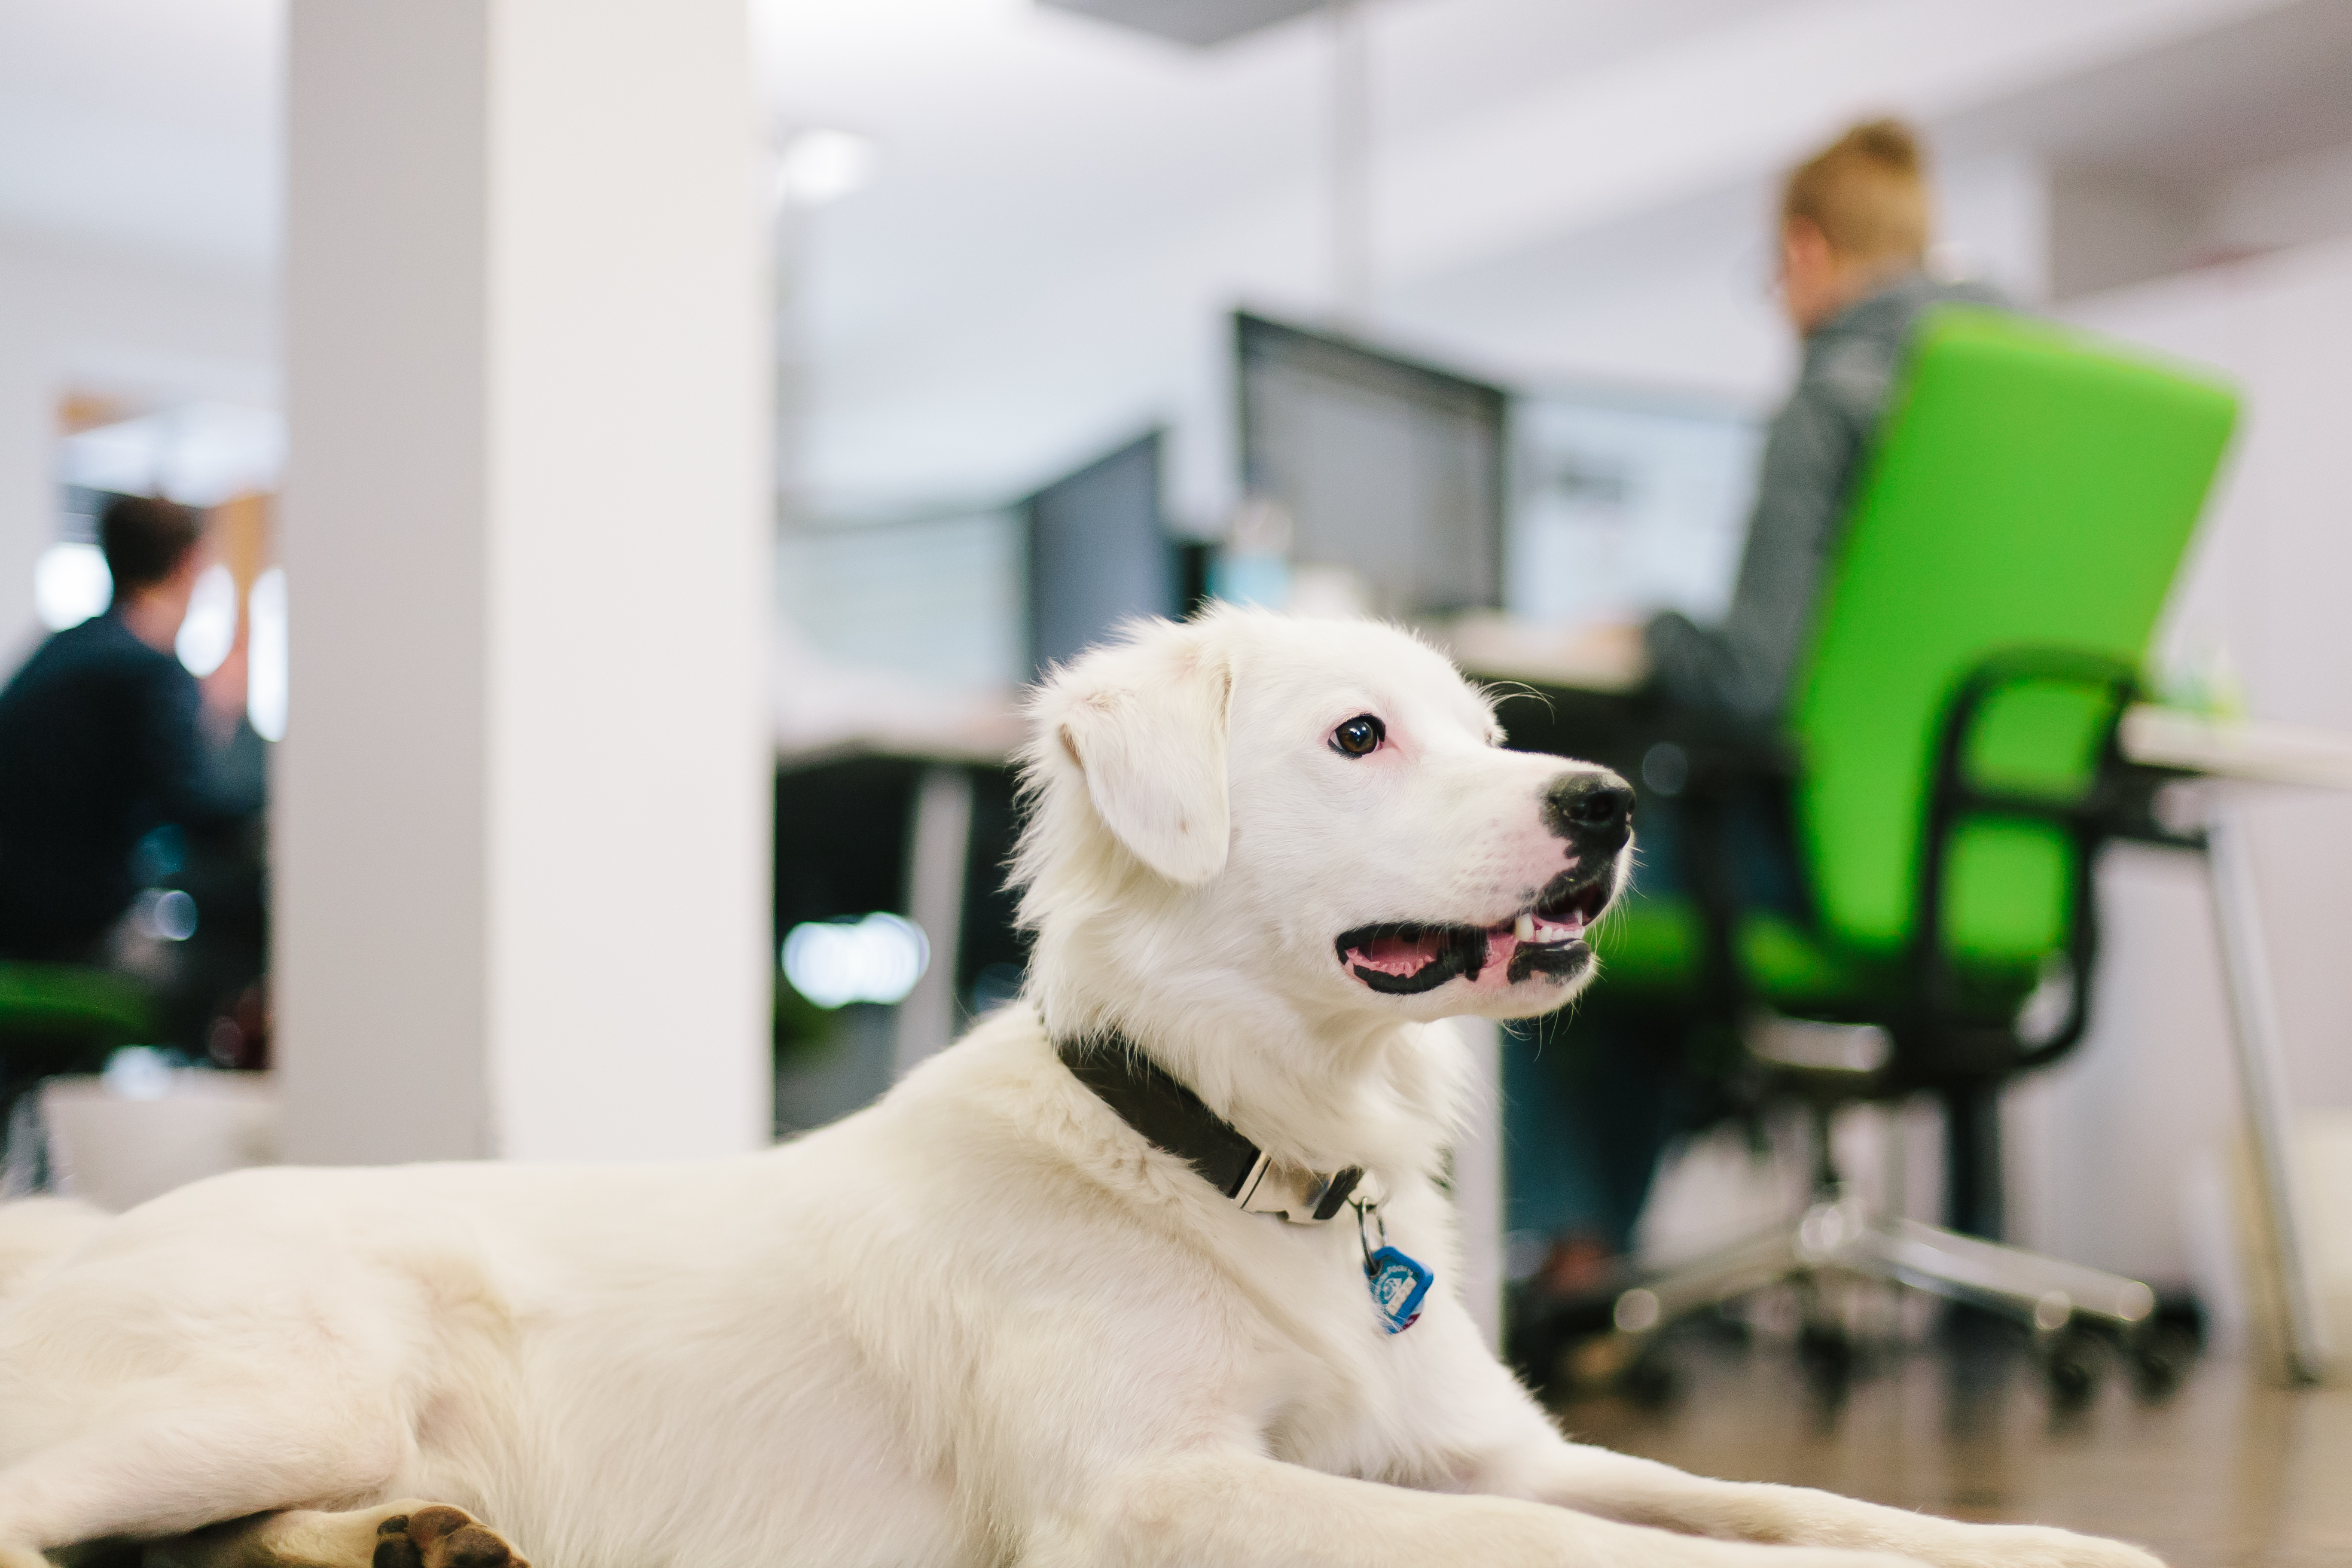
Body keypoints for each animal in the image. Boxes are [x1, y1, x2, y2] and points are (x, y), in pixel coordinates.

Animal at [0, 611, 2154, 1568]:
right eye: (1359, 737)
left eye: (1486, 727)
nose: (1613, 805)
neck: (1232, 1153)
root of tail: (75, 1235)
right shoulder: (1154, 1492)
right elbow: (1624, 1555)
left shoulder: (1481, 1450)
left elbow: (1784, 1493)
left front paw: (2052, 1549)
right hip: (284, 1380)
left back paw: (412, 1541)